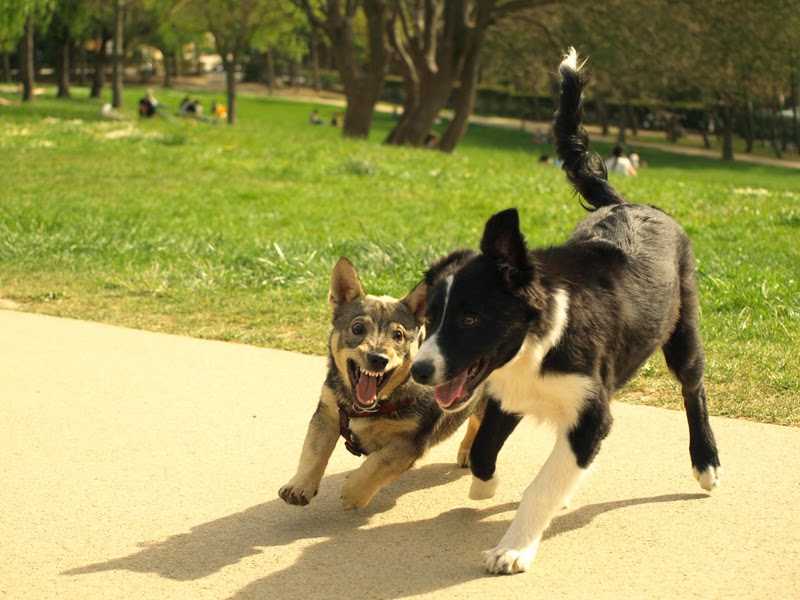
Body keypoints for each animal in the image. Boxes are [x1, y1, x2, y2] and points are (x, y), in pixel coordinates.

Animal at [282, 255, 482, 508]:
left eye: (398, 336)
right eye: (358, 328)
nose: (378, 358)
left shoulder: (410, 443)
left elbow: (378, 463)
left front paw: (354, 492)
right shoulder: (327, 413)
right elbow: (314, 451)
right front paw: (300, 486)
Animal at [410, 49, 720, 576]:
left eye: (470, 319)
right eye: (430, 319)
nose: (418, 370)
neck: (542, 341)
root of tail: (629, 203)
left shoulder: (592, 411)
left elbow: (540, 486)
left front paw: (513, 548)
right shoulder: (507, 393)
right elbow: (485, 452)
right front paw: (488, 488)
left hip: (684, 328)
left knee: (692, 389)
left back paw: (706, 462)